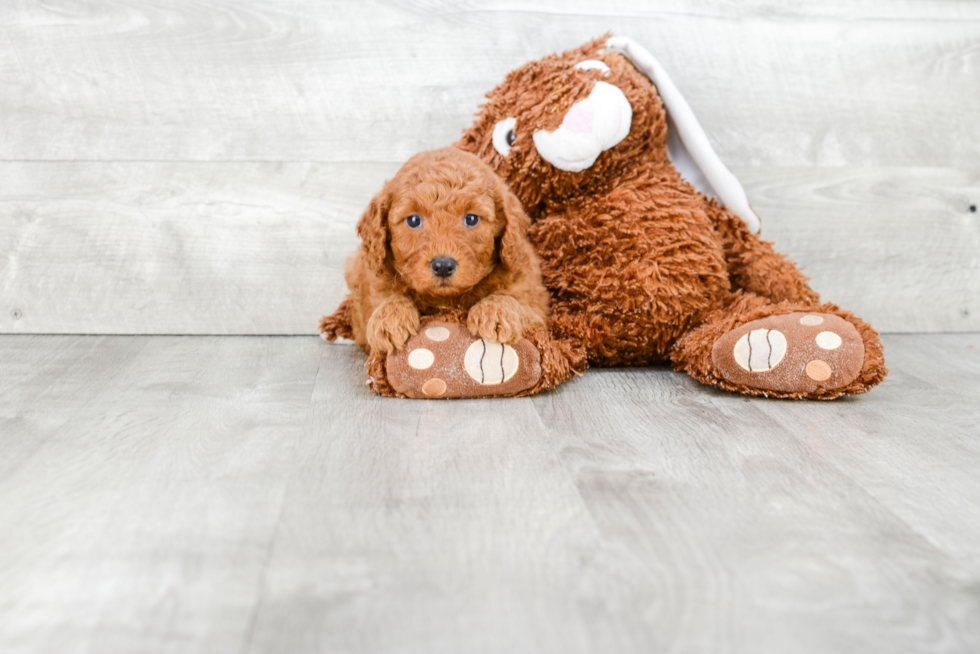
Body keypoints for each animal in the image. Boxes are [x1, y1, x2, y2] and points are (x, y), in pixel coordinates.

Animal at [324, 148, 548, 356]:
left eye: (471, 219)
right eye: (414, 220)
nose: (442, 266)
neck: (445, 299)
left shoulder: (535, 304)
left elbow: (515, 301)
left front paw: (495, 311)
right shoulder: (369, 290)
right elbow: (385, 298)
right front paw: (390, 317)